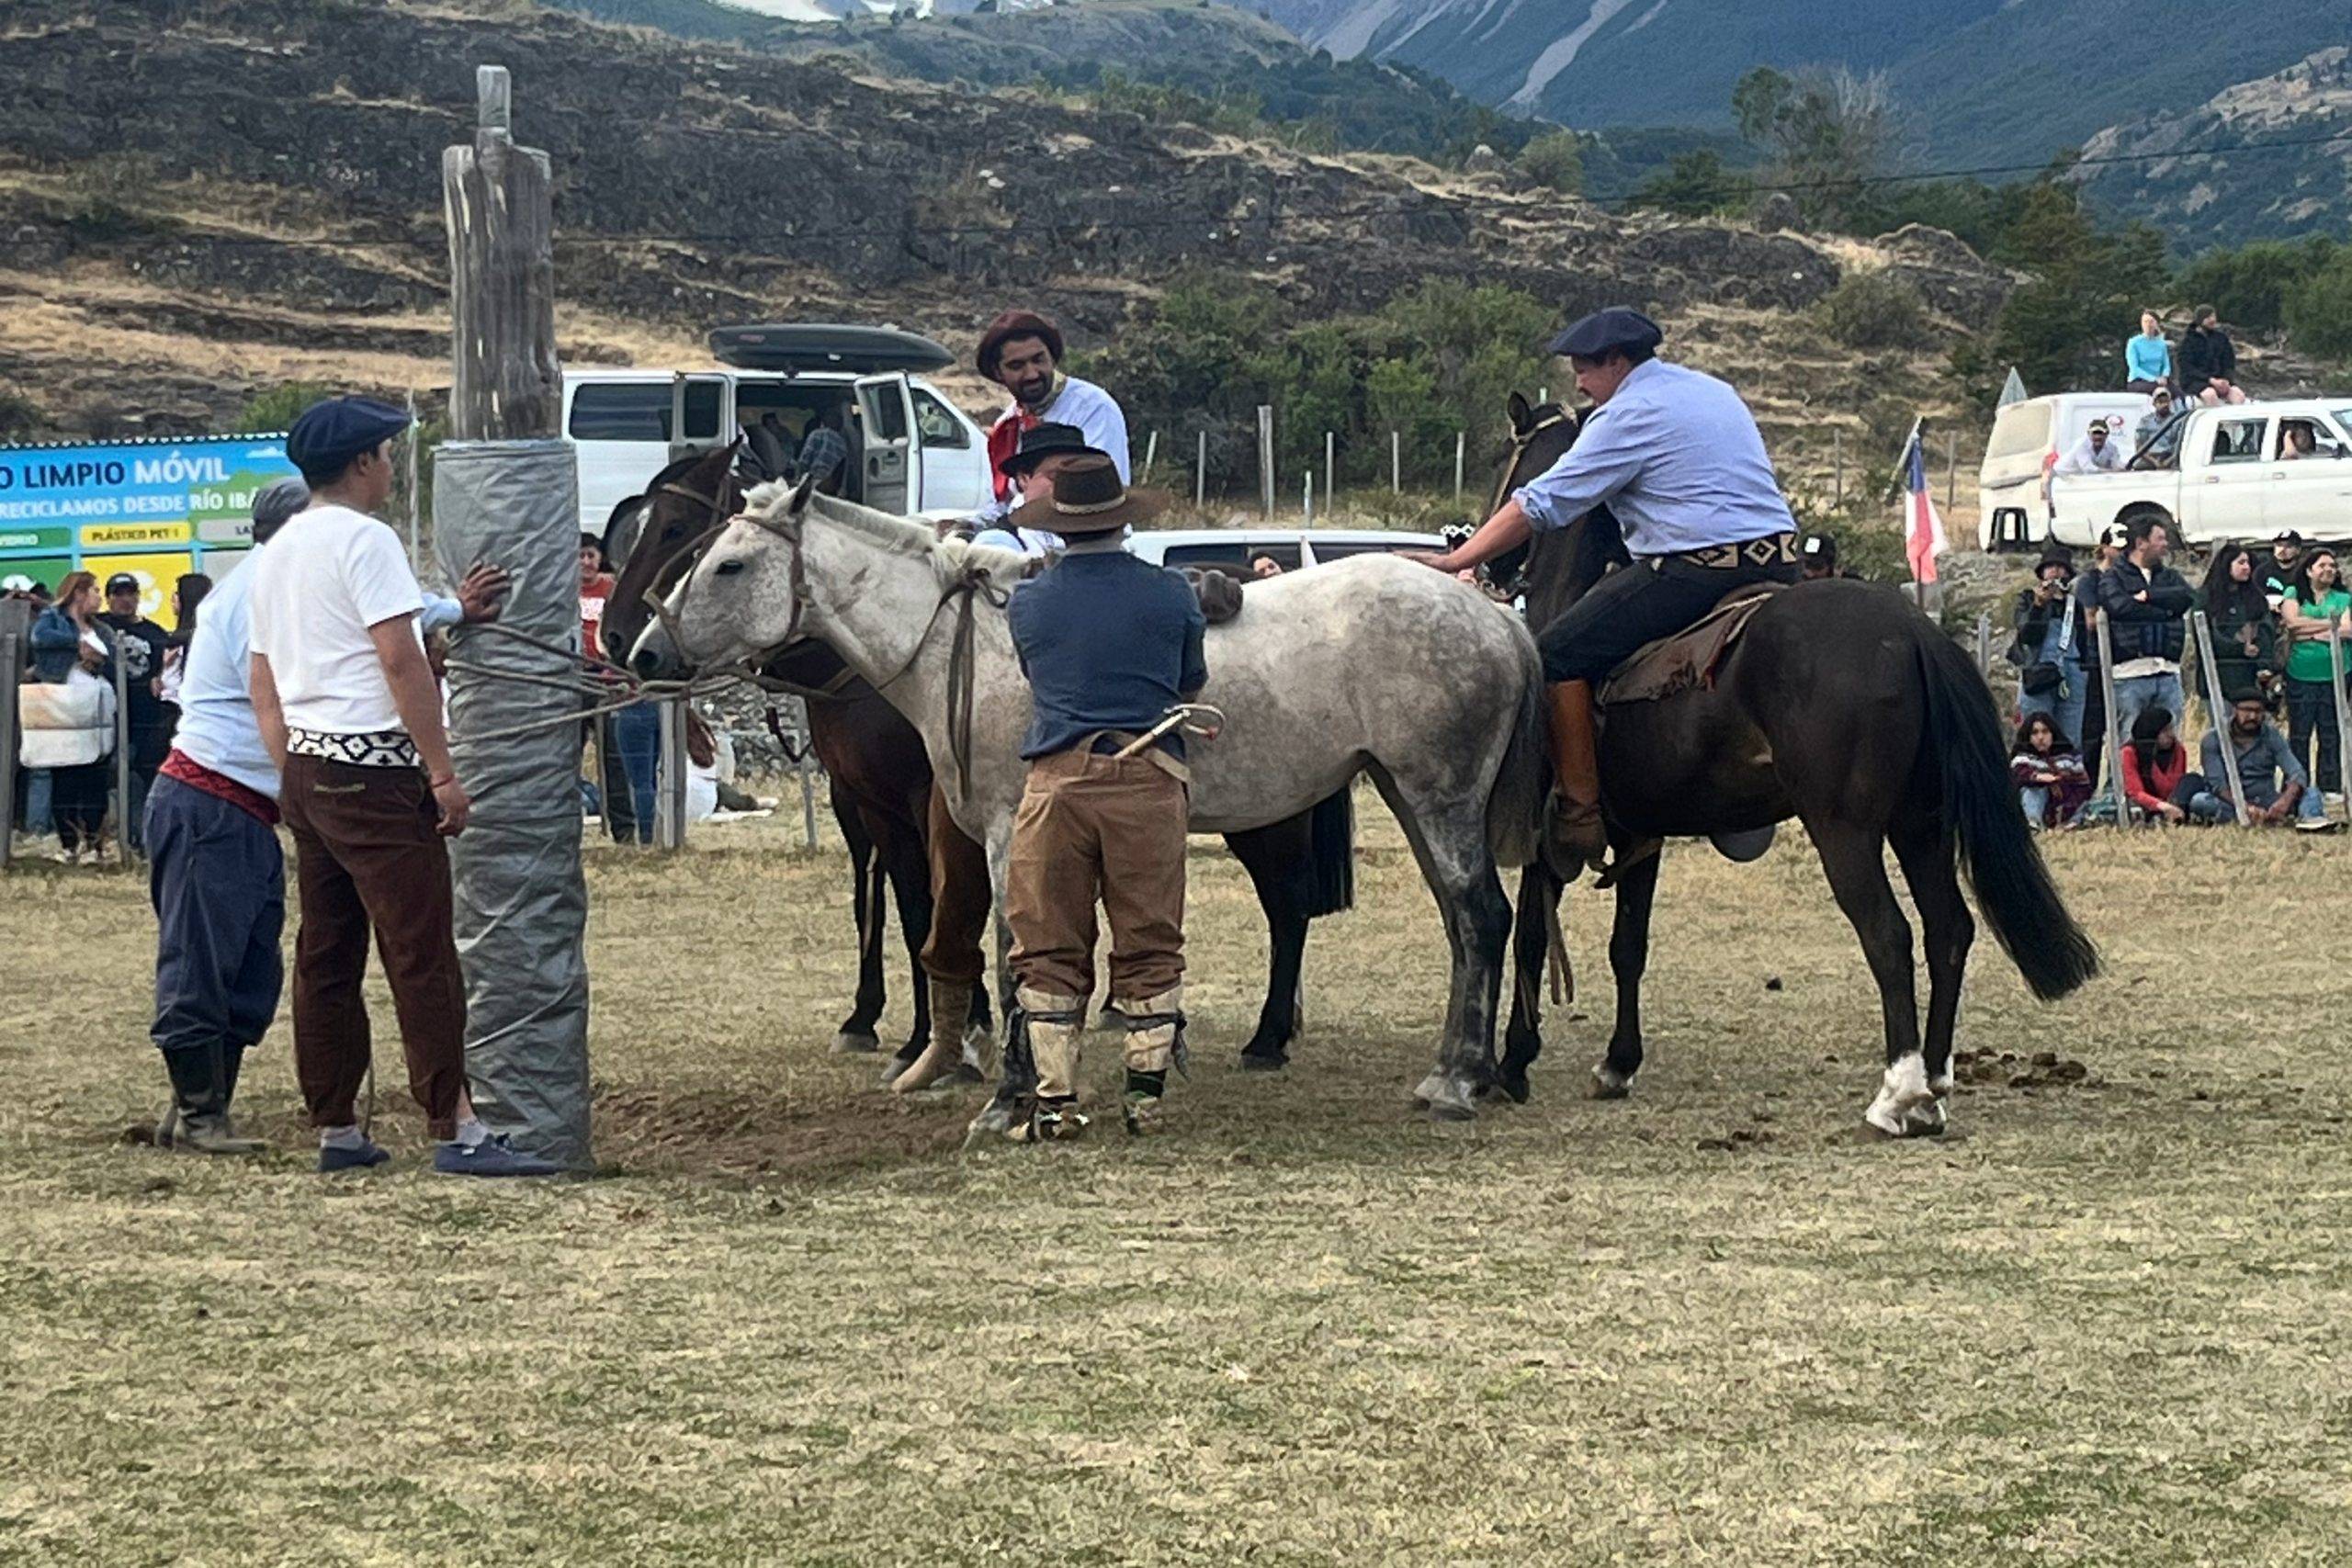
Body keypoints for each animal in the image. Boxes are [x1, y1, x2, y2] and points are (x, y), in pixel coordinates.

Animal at [597, 446, 1354, 1072]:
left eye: (693, 540)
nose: (631, 646)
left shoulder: (935, 811)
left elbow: (929, 910)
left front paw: (942, 1039)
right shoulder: (864, 805)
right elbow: (886, 908)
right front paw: (883, 1023)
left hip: (1270, 813)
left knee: (1288, 904)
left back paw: (1266, 1039)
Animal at [644, 484, 1552, 1123]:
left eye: (728, 564)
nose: (646, 649)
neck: (972, 646)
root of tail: (1495, 618)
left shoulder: (1009, 831)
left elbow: (1014, 957)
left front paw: (1009, 1096)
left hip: (1438, 798)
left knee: (1480, 917)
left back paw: (1455, 1083)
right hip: (1408, 795)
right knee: (1462, 925)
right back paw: (1460, 1068)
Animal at [1486, 389, 2098, 1128]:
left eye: (1510, 459)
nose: (1483, 555)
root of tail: (1912, 631)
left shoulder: (1548, 844)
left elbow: (1529, 938)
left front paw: (1513, 1062)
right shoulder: (1641, 837)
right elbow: (1628, 947)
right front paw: (1618, 1063)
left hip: (1846, 830)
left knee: (1888, 933)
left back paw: (1899, 1091)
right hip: (1920, 823)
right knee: (1947, 930)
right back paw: (1934, 1079)